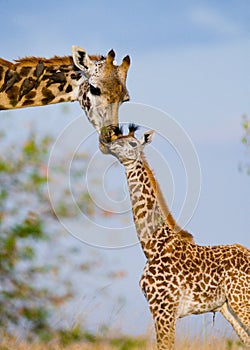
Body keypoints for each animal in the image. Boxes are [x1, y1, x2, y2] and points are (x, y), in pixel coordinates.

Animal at [99, 125, 250, 350]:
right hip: (229, 307)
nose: (106, 144)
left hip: (242, 301)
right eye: (118, 139)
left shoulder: (164, 308)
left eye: (133, 143)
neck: (152, 245)